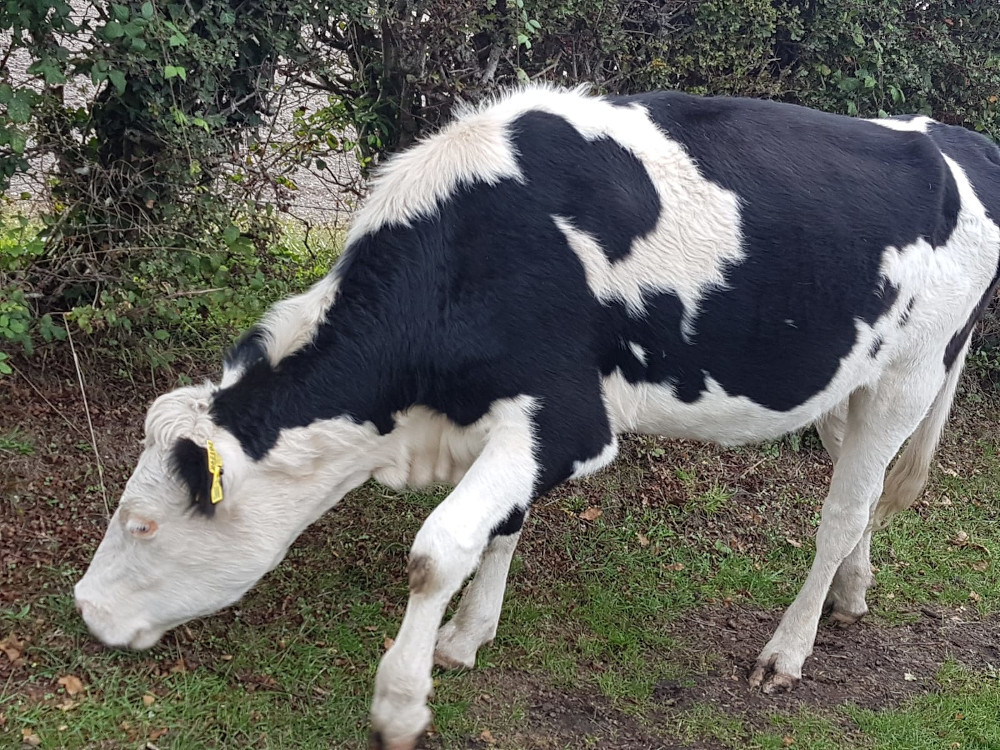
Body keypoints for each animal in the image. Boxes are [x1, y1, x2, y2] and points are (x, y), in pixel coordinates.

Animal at [74, 84, 1000, 749]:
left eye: (143, 524)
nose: (85, 611)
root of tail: (954, 137)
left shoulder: (570, 421)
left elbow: (436, 551)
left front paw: (401, 701)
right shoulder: (519, 426)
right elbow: (503, 525)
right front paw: (466, 638)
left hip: (912, 374)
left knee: (839, 511)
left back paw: (788, 651)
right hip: (850, 386)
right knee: (862, 493)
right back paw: (852, 593)